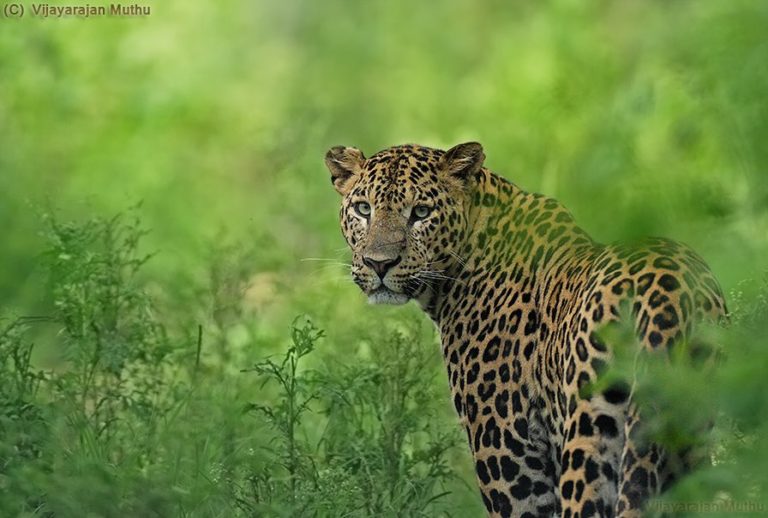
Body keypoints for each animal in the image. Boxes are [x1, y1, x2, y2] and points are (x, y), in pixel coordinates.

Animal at [323, 141, 727, 517]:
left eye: (421, 213)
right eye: (363, 209)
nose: (379, 263)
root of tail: (669, 295)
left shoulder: (508, 455)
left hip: (590, 440)